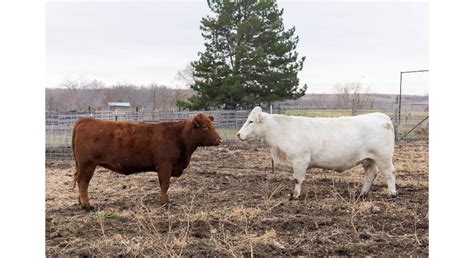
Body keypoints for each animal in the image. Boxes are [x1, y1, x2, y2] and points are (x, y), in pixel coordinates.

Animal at [71, 113, 222, 210]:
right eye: (205, 127)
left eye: (212, 125)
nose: (219, 140)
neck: (178, 136)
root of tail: (85, 120)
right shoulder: (165, 165)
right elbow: (165, 185)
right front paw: (165, 202)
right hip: (87, 165)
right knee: (83, 182)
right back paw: (87, 205)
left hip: (82, 165)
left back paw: (80, 202)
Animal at [237, 107, 396, 200]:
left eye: (251, 121)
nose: (238, 134)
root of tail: (381, 116)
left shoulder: (300, 161)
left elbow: (297, 179)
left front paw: (295, 195)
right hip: (369, 159)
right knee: (371, 174)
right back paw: (363, 194)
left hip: (383, 157)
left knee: (389, 173)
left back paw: (392, 194)